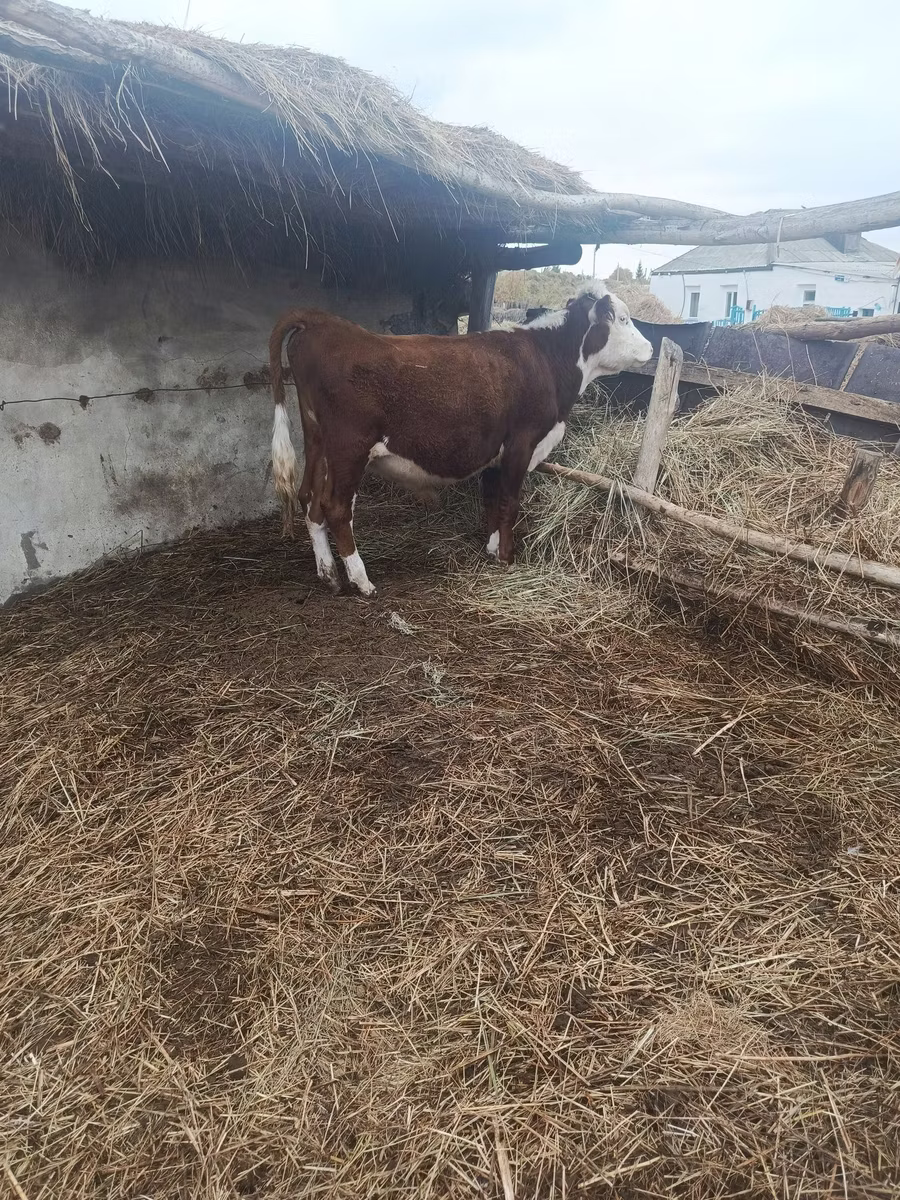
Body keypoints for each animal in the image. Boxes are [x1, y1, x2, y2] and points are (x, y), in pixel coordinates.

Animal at [269, 284, 652, 596]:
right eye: (622, 318)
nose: (650, 347)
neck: (547, 360)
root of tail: (322, 322)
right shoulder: (522, 442)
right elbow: (510, 502)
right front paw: (507, 558)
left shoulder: (498, 452)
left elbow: (493, 501)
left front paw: (493, 550)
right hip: (349, 446)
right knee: (335, 508)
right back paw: (361, 581)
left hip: (317, 440)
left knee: (310, 500)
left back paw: (329, 576)